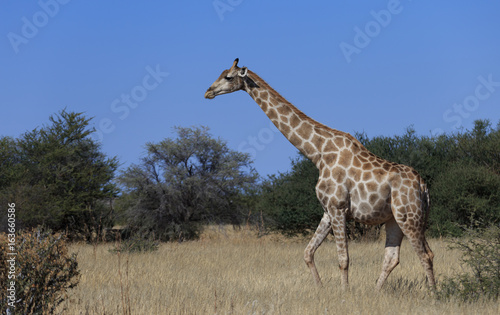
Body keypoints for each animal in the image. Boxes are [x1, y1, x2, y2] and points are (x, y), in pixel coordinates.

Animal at [205, 59, 436, 292]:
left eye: (228, 77)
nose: (208, 92)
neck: (318, 153)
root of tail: (423, 186)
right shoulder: (327, 210)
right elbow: (308, 252)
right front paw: (320, 288)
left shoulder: (338, 208)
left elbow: (343, 259)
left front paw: (344, 292)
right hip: (394, 219)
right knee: (393, 257)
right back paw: (377, 292)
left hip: (409, 216)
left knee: (425, 254)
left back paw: (433, 294)